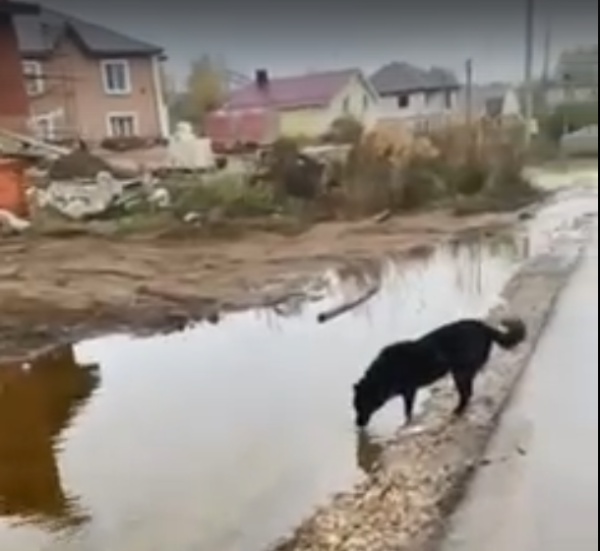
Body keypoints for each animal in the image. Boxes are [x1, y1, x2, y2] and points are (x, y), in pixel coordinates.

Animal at [352, 316, 524, 430]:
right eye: (355, 406)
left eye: (361, 406)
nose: (357, 424)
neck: (383, 375)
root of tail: (483, 326)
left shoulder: (409, 391)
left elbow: (407, 411)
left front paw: (405, 424)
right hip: (462, 372)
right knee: (468, 393)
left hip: (460, 372)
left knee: (466, 393)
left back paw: (457, 411)